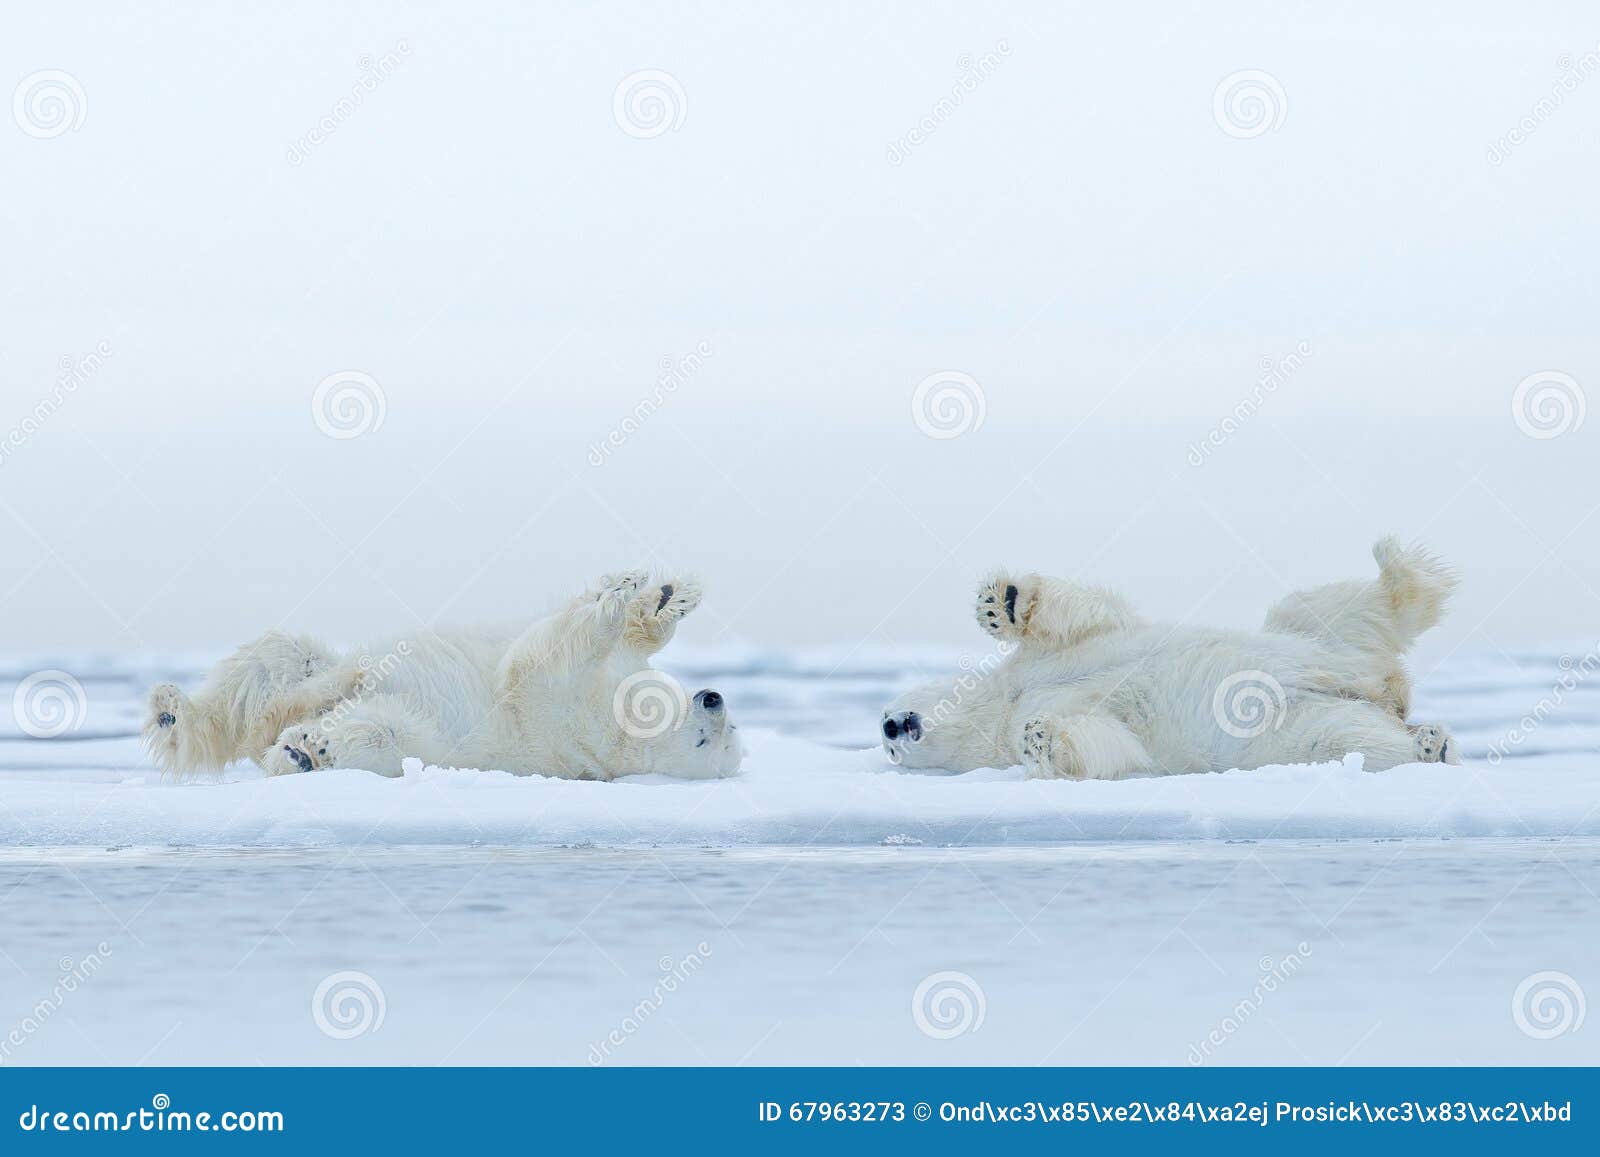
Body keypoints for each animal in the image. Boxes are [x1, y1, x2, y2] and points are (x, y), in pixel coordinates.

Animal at [144, 576, 742, 784]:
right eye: (728, 729)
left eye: (712, 742)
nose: (714, 697)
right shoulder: (608, 684)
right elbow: (628, 641)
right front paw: (660, 594)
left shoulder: (564, 715)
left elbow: (539, 661)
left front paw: (616, 603)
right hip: (310, 668)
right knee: (276, 663)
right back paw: (174, 709)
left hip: (423, 737)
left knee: (377, 730)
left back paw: (303, 749)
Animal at [876, 540, 1465, 777]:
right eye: (888, 749)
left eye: (887, 708)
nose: (888, 726)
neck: (1002, 703)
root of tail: (1385, 692)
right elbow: (1109, 743)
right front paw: (1041, 738)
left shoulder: (1055, 656)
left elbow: (1088, 616)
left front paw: (1002, 602)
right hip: (1297, 730)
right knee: (1348, 738)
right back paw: (1427, 745)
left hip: (1312, 639)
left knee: (1333, 609)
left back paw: (1398, 568)